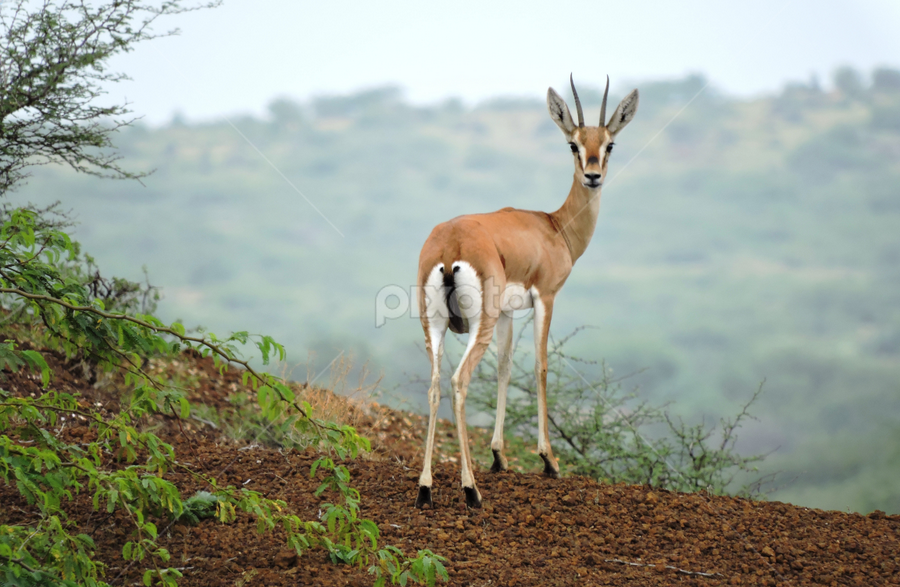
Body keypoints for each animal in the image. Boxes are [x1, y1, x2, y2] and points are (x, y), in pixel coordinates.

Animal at [414, 75, 639, 509]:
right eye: (573, 143)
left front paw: (499, 456)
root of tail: (450, 245)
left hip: (433, 325)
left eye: (609, 143)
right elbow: (540, 366)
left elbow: (504, 368)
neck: (553, 227)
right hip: (477, 325)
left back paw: (425, 489)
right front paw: (549, 460)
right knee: (458, 383)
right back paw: (470, 491)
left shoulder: (507, 313)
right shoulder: (545, 298)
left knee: (434, 385)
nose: (593, 176)